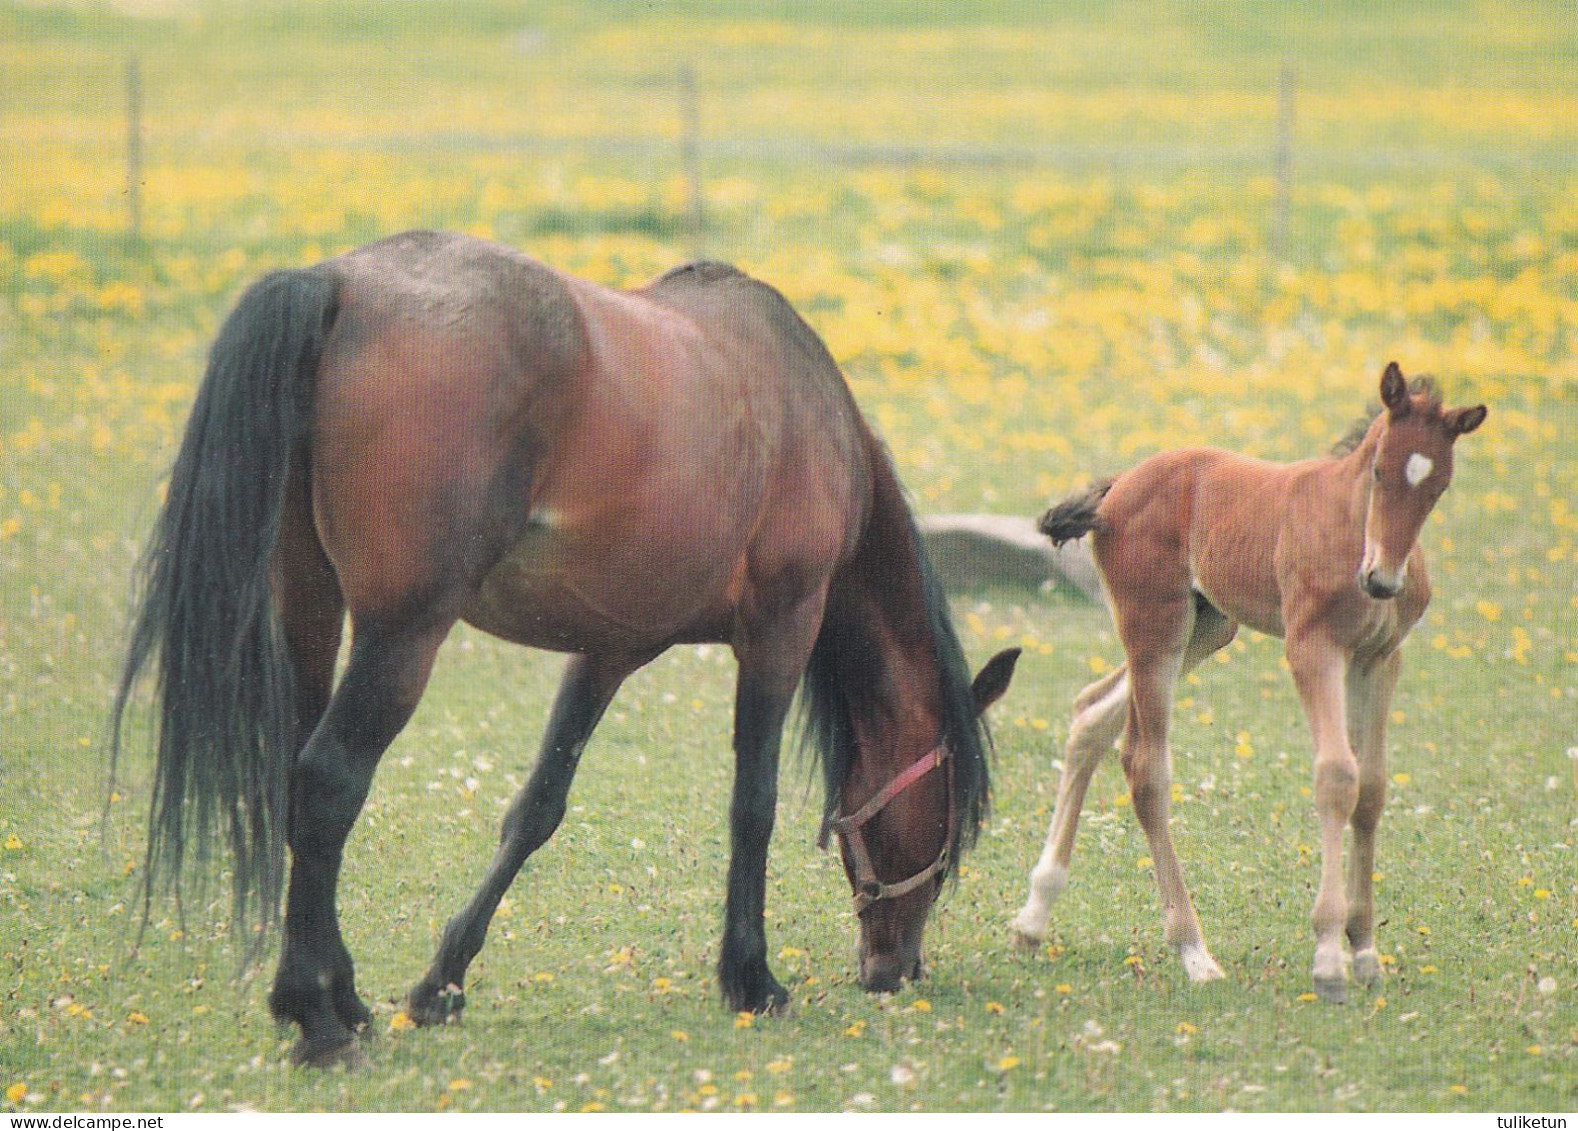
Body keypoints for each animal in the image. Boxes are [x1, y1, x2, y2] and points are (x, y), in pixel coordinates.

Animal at [114, 231, 1022, 1066]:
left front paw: (441, 982)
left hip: (311, 611)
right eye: (950, 827)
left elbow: (538, 807)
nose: (897, 968)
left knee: (298, 785)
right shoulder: (780, 628)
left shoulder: (610, 648)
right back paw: (317, 1017)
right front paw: (751, 977)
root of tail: (339, 284)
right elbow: (752, 804)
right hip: (402, 633)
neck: (802, 407)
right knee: (328, 779)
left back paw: (343, 996)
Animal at [1009, 365, 1477, 1003]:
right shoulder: (1311, 648)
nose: (1382, 580)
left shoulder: (1380, 658)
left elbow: (1373, 786)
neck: (1347, 525)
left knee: (1090, 715)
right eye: (1380, 470)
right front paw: (1328, 956)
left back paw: (1033, 917)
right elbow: (1336, 777)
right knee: (1145, 768)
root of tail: (1119, 485)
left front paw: (1364, 949)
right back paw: (1193, 951)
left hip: (1208, 628)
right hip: (1155, 629)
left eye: (1439, 487)